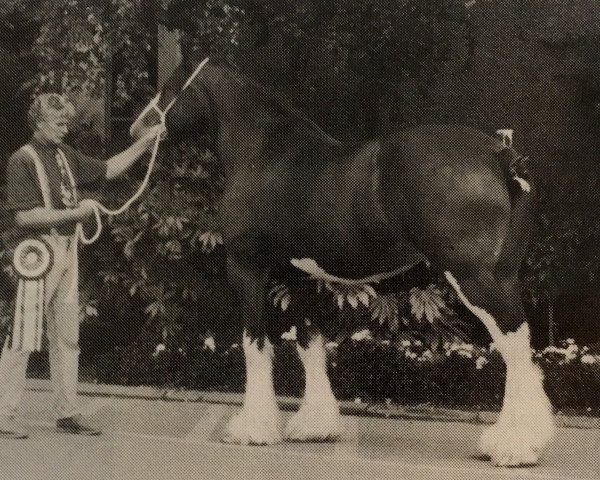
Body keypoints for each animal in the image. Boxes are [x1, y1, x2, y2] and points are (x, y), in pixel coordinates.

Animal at [132, 58, 556, 466]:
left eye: (168, 89)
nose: (137, 129)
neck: (265, 152)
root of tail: (499, 155)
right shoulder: (299, 277)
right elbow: (310, 344)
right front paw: (314, 425)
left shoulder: (246, 269)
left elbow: (255, 345)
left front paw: (252, 429)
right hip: (500, 276)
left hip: (475, 279)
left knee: (514, 344)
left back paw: (513, 447)